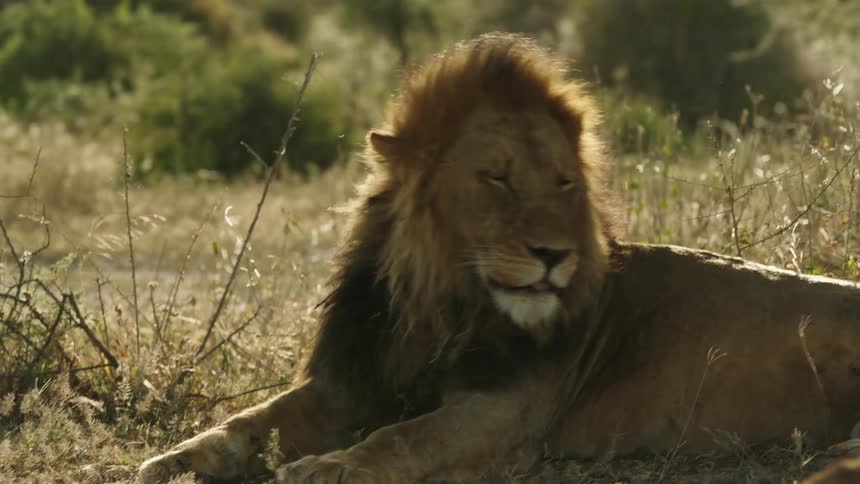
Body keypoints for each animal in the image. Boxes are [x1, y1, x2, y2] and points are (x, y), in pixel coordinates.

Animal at [139, 33, 860, 484]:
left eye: (565, 183)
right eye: (498, 178)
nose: (554, 254)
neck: (439, 303)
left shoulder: (506, 409)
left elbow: (407, 436)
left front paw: (328, 466)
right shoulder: (350, 380)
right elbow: (248, 420)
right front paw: (177, 458)